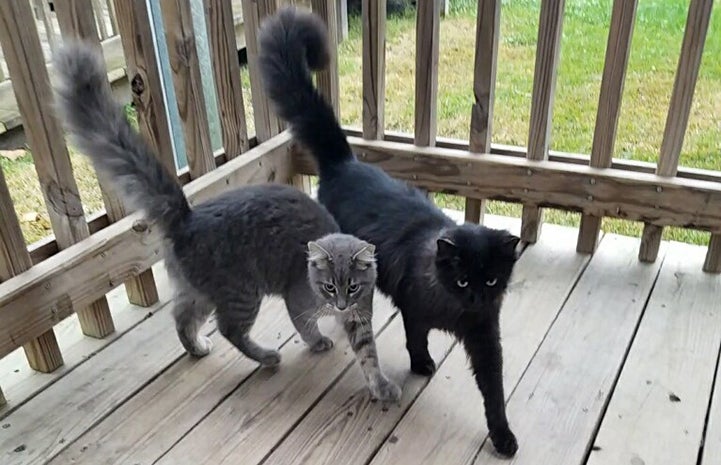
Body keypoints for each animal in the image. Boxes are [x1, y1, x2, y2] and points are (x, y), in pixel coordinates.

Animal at [50, 40, 400, 398]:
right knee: (229, 329)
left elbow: (368, 354)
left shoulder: (360, 316)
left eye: (353, 287)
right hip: (241, 293)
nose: (341, 305)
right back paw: (267, 356)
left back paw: (197, 348)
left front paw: (381, 385)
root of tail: (187, 217)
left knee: (181, 318)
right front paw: (318, 342)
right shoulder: (297, 298)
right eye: (330, 287)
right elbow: (305, 325)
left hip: (200, 292)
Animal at [260, 8, 524, 456]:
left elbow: (495, 392)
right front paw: (422, 366)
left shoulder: (486, 335)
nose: (476, 297)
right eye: (461, 279)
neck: (456, 313)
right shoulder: (414, 310)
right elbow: (415, 340)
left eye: (491, 280)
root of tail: (345, 162)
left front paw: (503, 435)